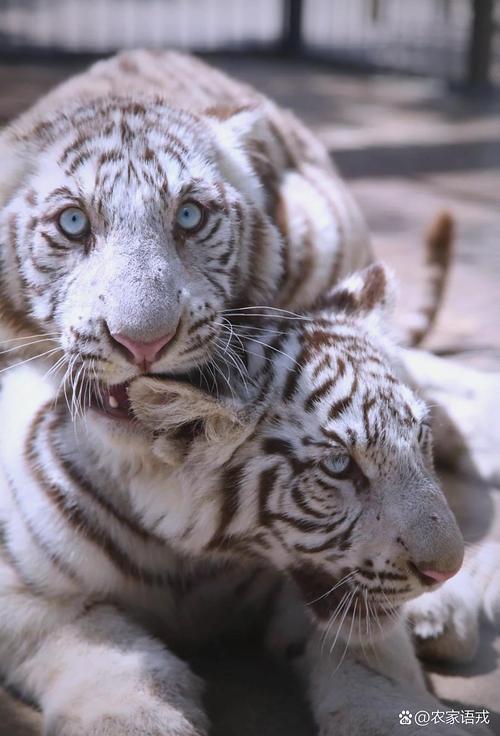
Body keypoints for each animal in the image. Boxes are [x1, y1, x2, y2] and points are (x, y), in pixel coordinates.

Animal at [1, 262, 496, 736]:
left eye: (420, 437)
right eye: (340, 466)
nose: (445, 571)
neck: (194, 560)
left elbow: (372, 666)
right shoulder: (31, 596)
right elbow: (108, 652)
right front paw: (135, 720)